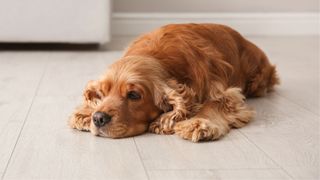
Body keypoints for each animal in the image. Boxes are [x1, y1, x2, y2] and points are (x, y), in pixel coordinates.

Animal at [69, 23, 278, 142]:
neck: (159, 58)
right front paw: (84, 113)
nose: (98, 118)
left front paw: (198, 123)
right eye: (101, 93)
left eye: (134, 95)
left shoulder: (224, 91)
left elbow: (216, 102)